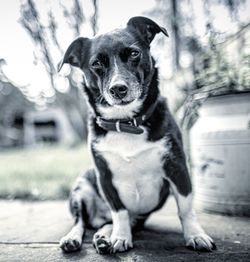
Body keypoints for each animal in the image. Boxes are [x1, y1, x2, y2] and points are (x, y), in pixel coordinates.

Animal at [57, 16, 216, 254]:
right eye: (96, 64)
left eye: (134, 53)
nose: (118, 89)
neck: (126, 122)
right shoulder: (105, 177)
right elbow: (119, 212)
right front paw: (121, 237)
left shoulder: (177, 167)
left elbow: (186, 209)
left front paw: (196, 235)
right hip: (80, 190)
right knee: (81, 221)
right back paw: (75, 238)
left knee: (106, 223)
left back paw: (102, 236)